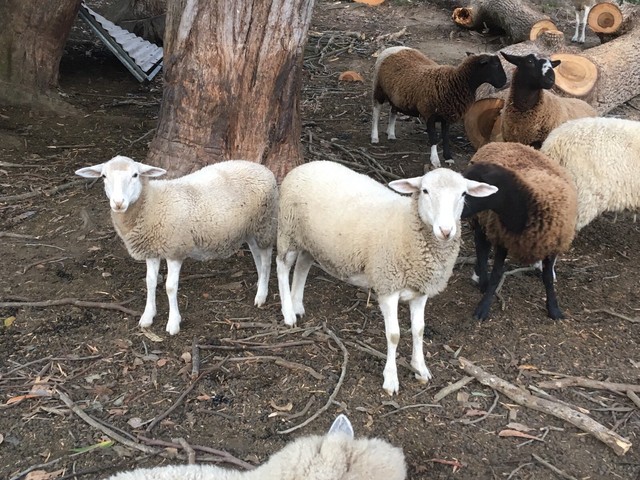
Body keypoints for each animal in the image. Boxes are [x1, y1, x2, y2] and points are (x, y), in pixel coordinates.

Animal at [75, 156, 278, 335]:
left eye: (135, 175)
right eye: (103, 176)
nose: (118, 203)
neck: (150, 203)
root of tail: (262, 168)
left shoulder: (175, 250)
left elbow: (170, 287)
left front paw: (173, 323)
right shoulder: (152, 250)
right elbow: (150, 281)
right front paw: (147, 316)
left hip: (265, 222)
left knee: (267, 258)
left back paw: (262, 294)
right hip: (251, 227)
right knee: (256, 254)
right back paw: (260, 280)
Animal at [276, 160, 497, 394]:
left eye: (463, 194)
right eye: (425, 191)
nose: (446, 231)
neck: (408, 227)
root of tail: (305, 165)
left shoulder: (421, 290)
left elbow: (419, 330)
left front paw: (420, 368)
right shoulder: (388, 286)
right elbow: (394, 335)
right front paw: (390, 379)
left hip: (310, 240)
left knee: (302, 265)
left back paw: (297, 305)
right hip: (288, 230)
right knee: (282, 267)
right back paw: (288, 313)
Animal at [371, 47, 507, 168]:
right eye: (495, 65)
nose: (504, 81)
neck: (455, 82)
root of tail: (392, 48)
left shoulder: (446, 115)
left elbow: (445, 137)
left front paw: (448, 157)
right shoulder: (429, 114)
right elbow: (434, 138)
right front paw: (435, 160)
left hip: (396, 95)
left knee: (393, 110)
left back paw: (391, 134)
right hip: (379, 89)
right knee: (376, 113)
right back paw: (374, 137)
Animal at [461, 142, 577, 321]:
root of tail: (498, 142)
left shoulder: (552, 244)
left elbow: (548, 278)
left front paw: (554, 309)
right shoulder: (502, 238)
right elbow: (496, 274)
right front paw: (483, 307)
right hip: (481, 220)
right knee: (481, 248)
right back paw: (482, 280)